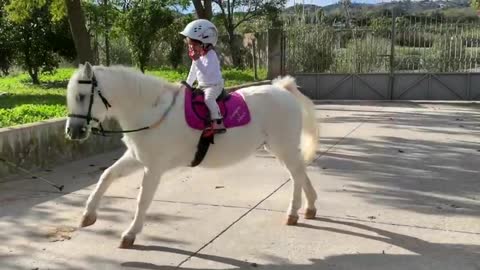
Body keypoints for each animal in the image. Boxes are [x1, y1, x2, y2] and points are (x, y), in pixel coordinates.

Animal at [63, 62, 318, 248]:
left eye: (82, 96)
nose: (73, 131)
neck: (151, 111)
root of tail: (283, 90)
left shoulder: (154, 167)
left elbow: (142, 200)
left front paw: (130, 234)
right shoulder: (136, 158)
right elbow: (107, 175)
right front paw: (88, 215)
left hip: (283, 146)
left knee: (296, 176)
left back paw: (293, 213)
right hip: (280, 149)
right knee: (299, 172)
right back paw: (310, 208)